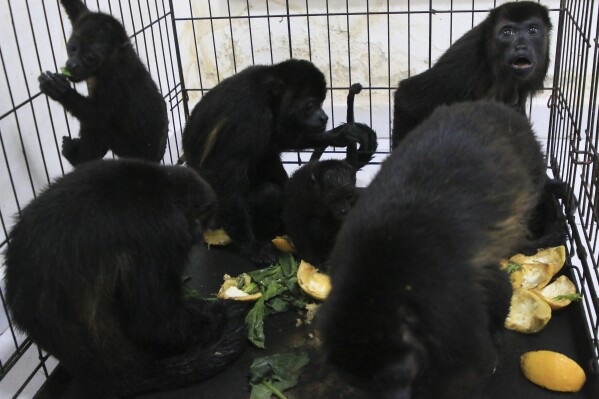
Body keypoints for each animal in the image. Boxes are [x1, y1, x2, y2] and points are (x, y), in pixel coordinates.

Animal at [38, 0, 168, 166]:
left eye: (90, 58)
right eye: (72, 48)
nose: (72, 65)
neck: (112, 61)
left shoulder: (114, 81)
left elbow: (100, 116)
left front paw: (61, 92)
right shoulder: (84, 16)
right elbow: (74, 7)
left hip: (128, 151)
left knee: (99, 127)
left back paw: (78, 159)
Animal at [183, 58, 358, 266]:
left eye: (321, 103)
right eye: (310, 105)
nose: (324, 117)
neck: (267, 93)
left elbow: (279, 139)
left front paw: (337, 136)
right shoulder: (249, 118)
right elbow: (221, 177)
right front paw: (253, 248)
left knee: (267, 155)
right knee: (268, 191)